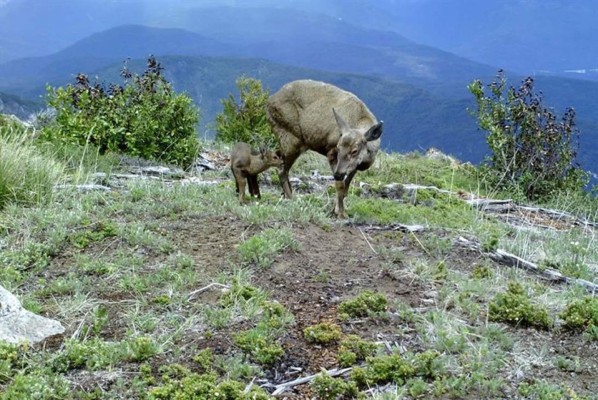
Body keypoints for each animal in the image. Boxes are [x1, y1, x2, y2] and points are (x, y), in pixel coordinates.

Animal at [268, 77, 384, 216]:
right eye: (338, 147)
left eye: (354, 151)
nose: (338, 174)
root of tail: (269, 102)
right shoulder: (330, 151)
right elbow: (340, 186)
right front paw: (341, 214)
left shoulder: (354, 166)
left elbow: (346, 187)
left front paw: (336, 209)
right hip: (290, 138)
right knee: (281, 170)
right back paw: (291, 199)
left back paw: (286, 195)